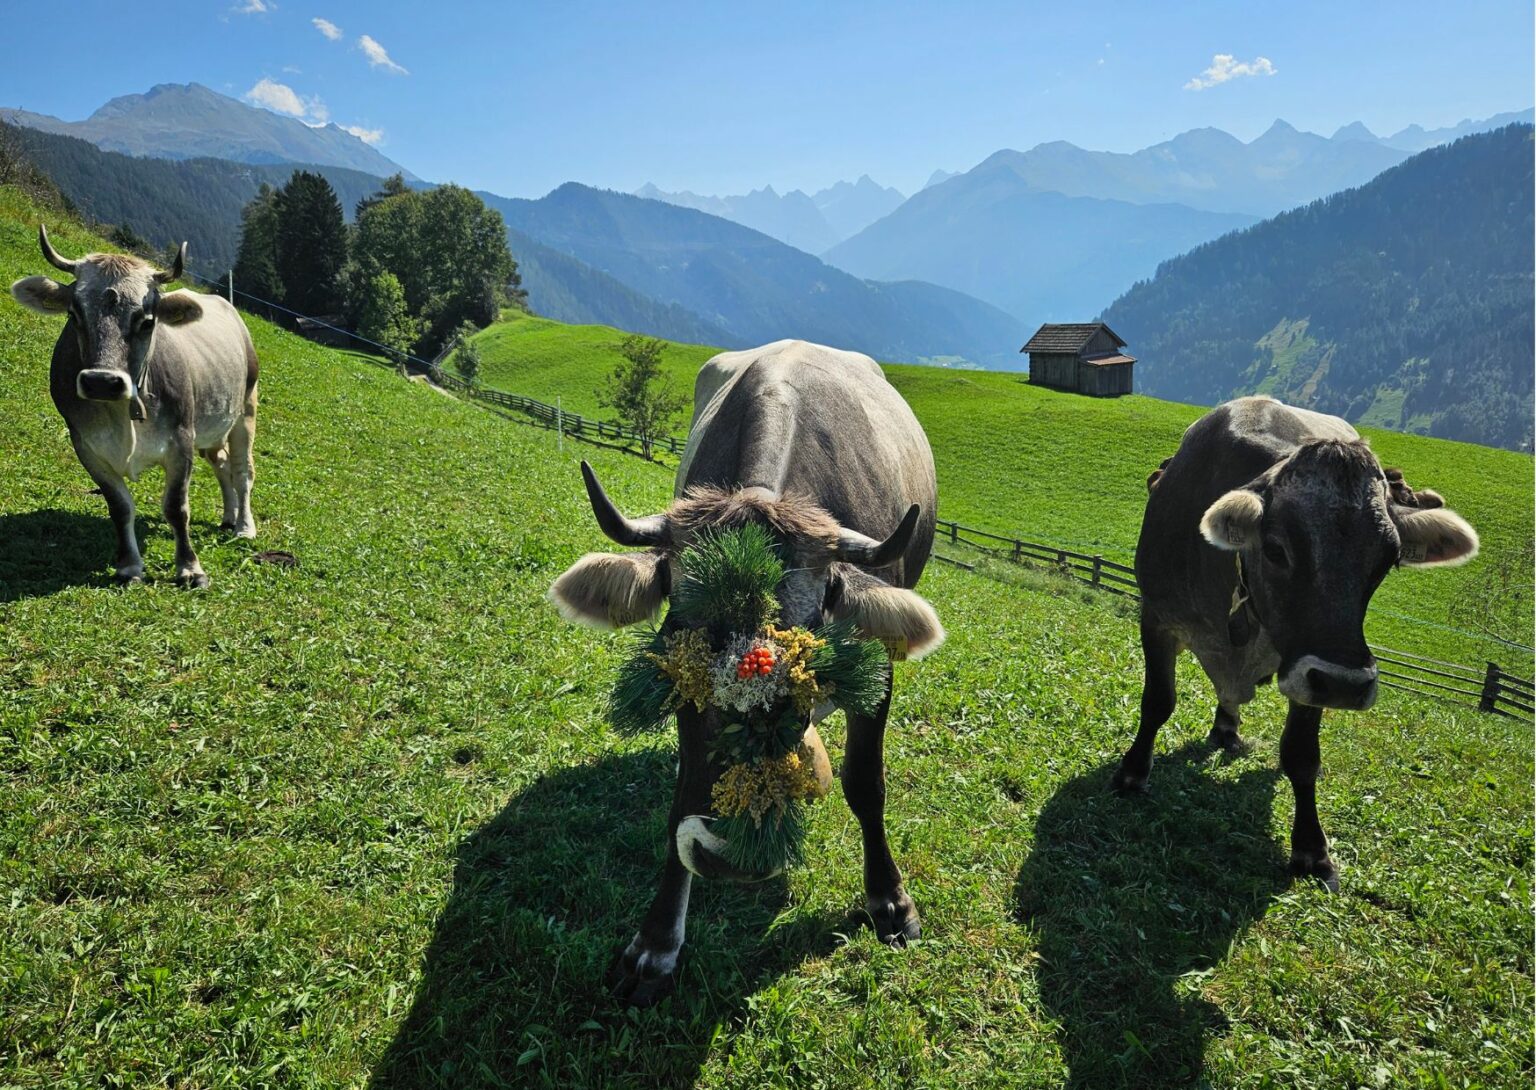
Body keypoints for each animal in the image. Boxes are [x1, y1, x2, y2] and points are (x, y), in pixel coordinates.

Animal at [11, 227, 258, 589]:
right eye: (74, 313)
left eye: (147, 321)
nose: (102, 381)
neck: (121, 415)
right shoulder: (86, 446)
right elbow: (120, 506)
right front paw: (129, 566)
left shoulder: (181, 440)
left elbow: (176, 507)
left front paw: (190, 568)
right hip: (213, 425)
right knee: (222, 462)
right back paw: (228, 517)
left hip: (245, 409)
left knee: (242, 470)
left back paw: (244, 526)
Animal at [546, 339, 940, 1007]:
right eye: (678, 648)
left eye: (809, 660)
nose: (733, 857)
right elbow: (681, 799)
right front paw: (655, 946)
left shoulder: (877, 668)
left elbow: (865, 782)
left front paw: (889, 900)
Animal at [1118, 396, 1474, 890]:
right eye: (1275, 549)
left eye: (1388, 560)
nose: (1346, 685)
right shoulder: (1156, 615)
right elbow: (1157, 701)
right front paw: (1132, 772)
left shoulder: (1310, 672)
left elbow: (1302, 756)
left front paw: (1311, 847)